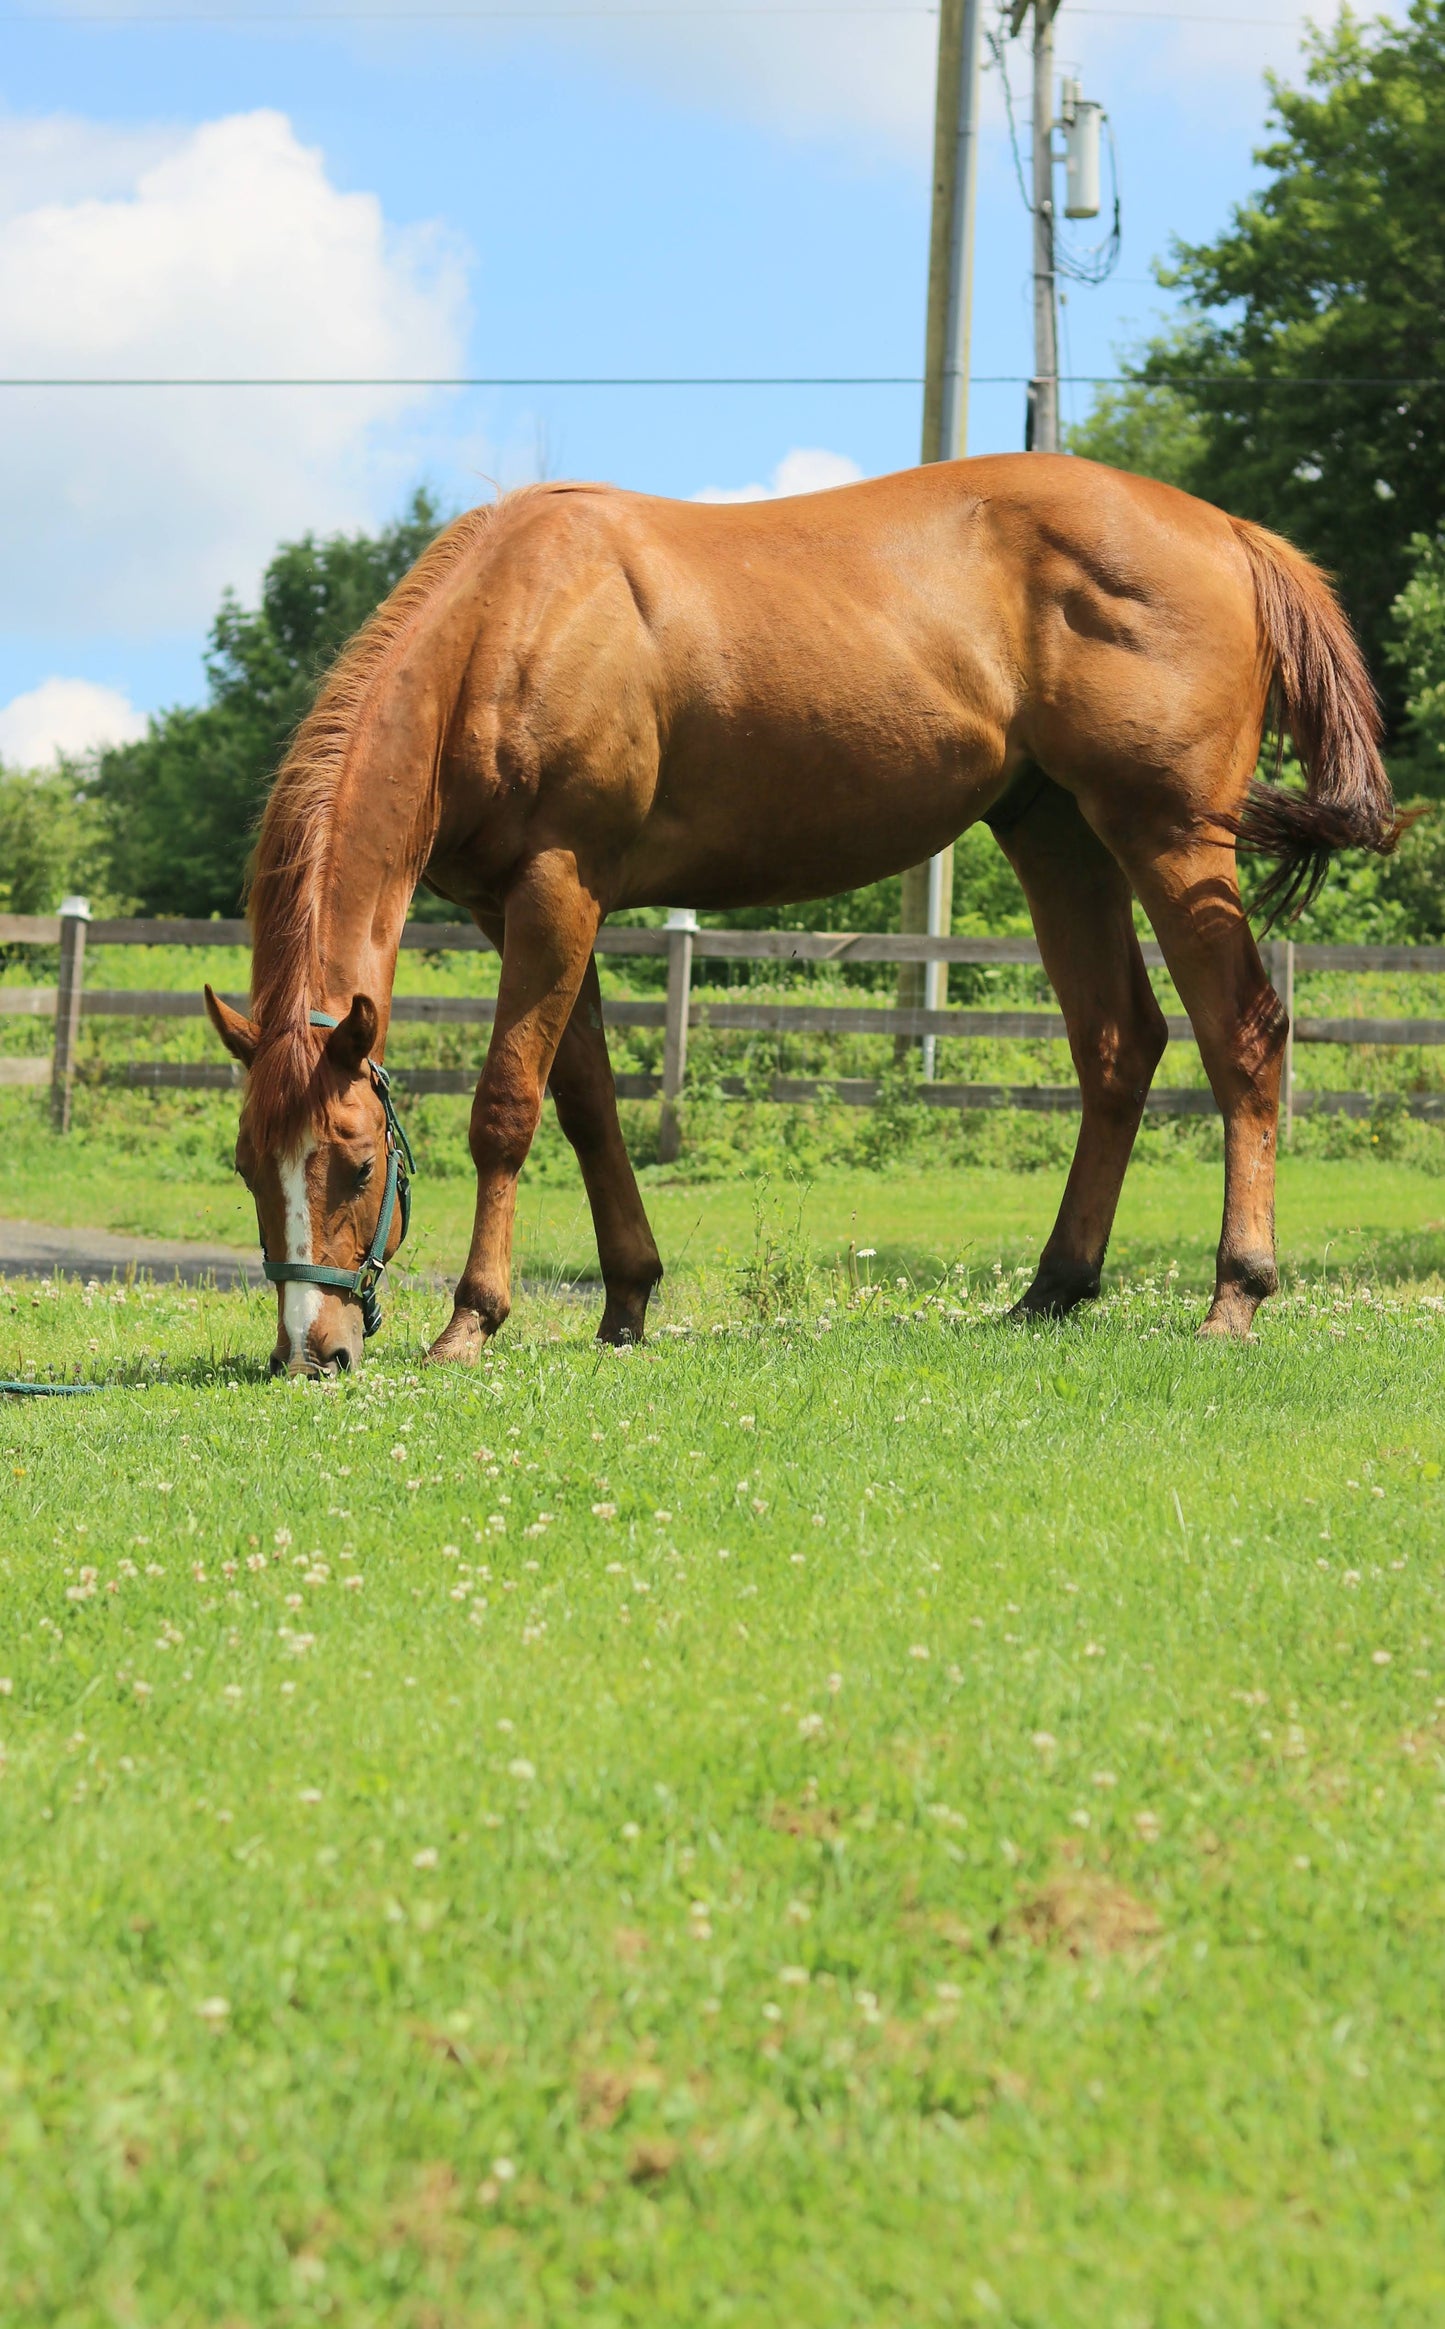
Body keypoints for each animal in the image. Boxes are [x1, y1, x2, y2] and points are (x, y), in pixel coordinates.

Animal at [206, 449, 1398, 1378]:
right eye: (246, 1166)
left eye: (357, 1163)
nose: (310, 1351)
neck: (511, 624)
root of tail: (1229, 532)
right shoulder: (528, 910)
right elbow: (587, 1101)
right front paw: (626, 1299)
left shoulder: (558, 886)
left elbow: (507, 1105)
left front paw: (471, 1320)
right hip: (1055, 833)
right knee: (1117, 1045)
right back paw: (1052, 1286)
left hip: (1167, 835)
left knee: (1240, 1035)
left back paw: (1234, 1293)